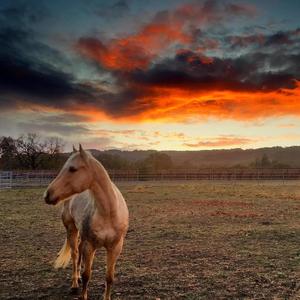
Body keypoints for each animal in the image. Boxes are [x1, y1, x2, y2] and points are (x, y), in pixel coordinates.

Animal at [43, 144, 129, 298]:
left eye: (72, 169)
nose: (47, 195)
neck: (108, 213)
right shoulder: (89, 246)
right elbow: (86, 275)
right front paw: (82, 294)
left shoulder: (115, 247)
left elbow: (109, 277)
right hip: (72, 229)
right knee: (75, 254)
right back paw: (74, 284)